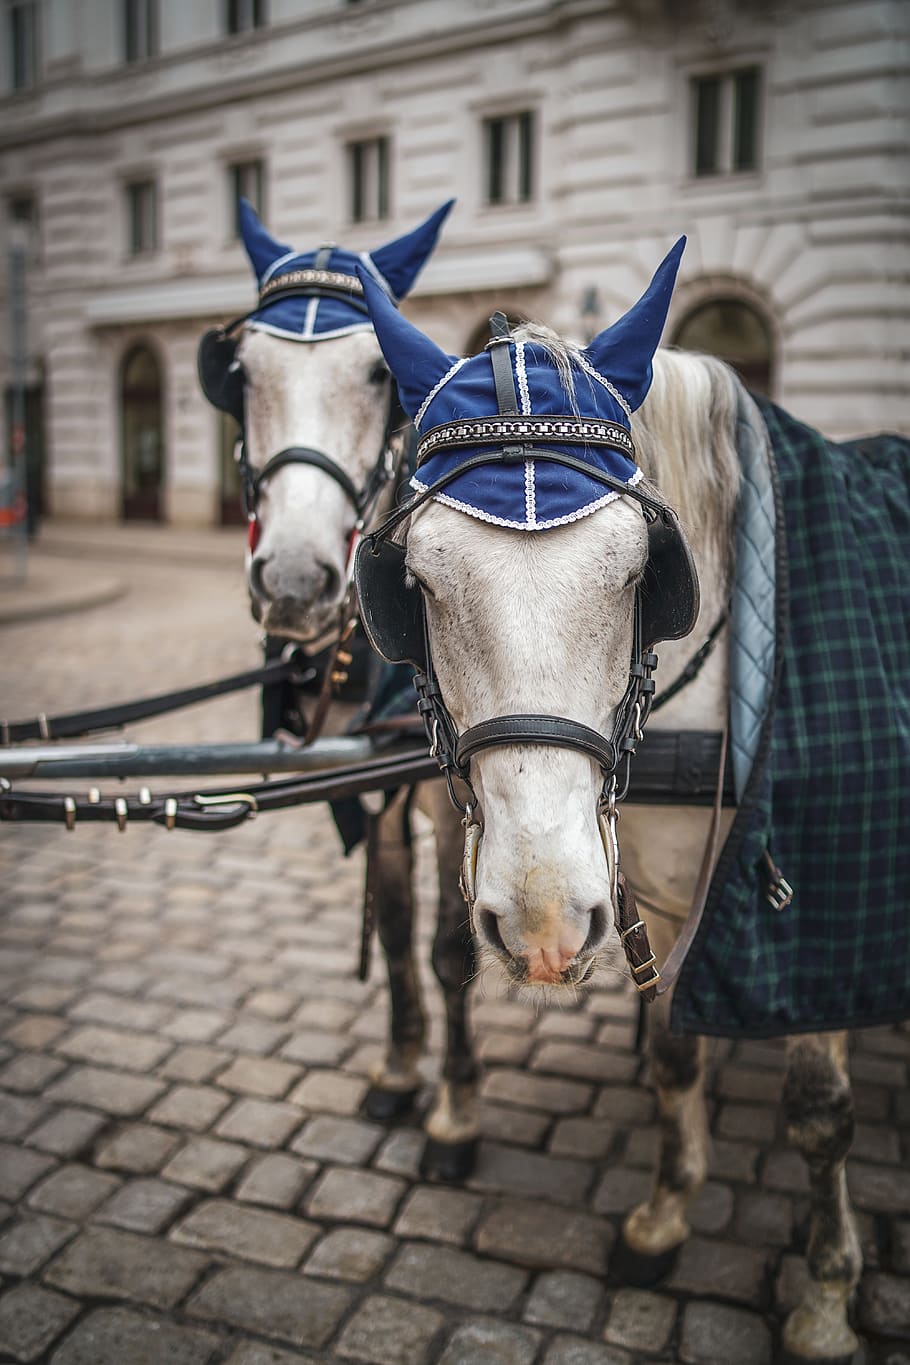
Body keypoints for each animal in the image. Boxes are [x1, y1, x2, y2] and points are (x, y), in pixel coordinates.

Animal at [197, 199, 483, 1178]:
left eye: (378, 374)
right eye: (241, 372)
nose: (293, 577)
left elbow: (450, 947)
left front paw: (455, 1113)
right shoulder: (374, 787)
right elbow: (394, 927)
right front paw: (400, 1070)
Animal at [351, 241, 910, 1364]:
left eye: (638, 574)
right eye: (418, 581)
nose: (542, 923)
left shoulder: (831, 907)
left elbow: (818, 1108)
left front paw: (827, 1296)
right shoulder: (657, 894)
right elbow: (675, 1053)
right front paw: (664, 1216)